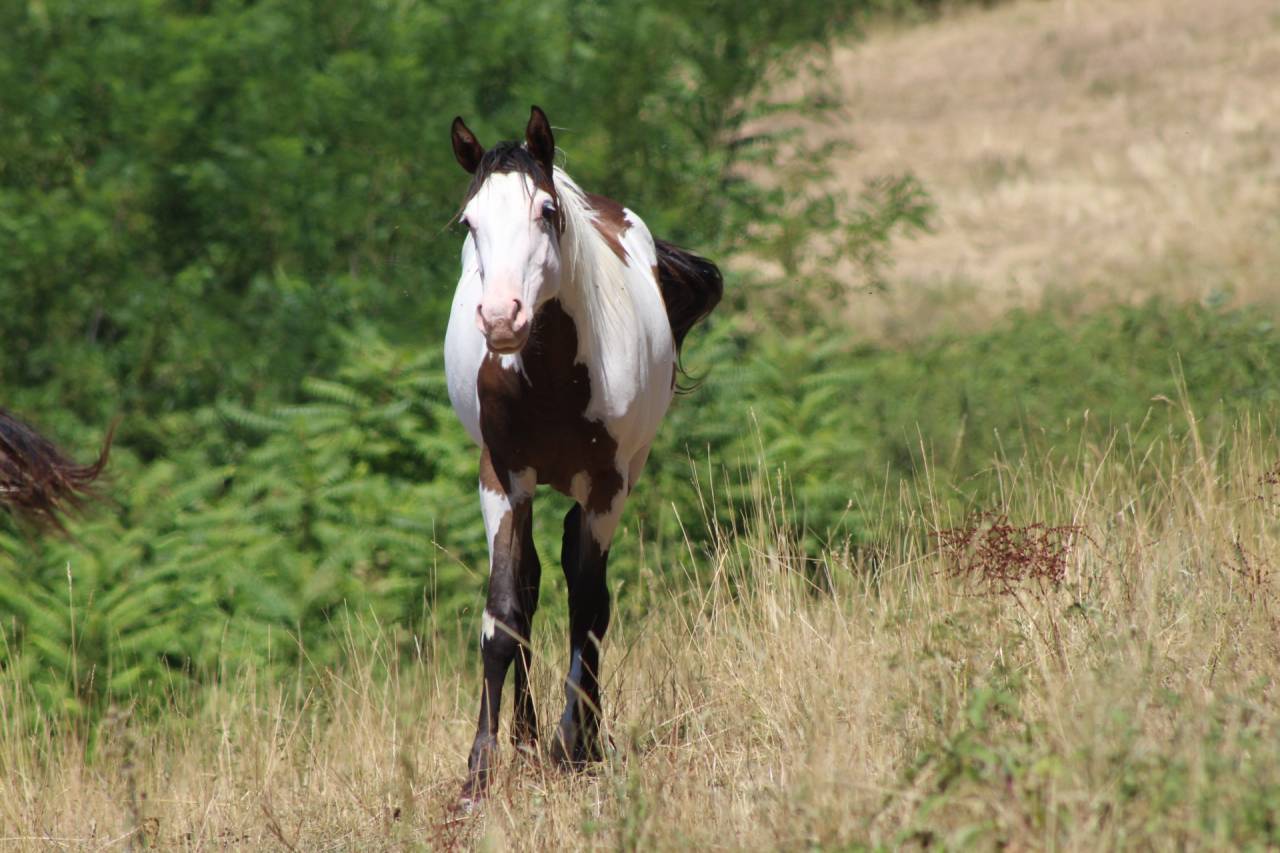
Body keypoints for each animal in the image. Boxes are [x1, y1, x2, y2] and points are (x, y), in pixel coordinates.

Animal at [445, 106, 722, 802]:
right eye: (469, 222)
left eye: (545, 210)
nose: (501, 318)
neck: (550, 382)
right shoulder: (502, 477)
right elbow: (504, 612)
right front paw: (480, 772)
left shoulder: (606, 484)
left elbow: (590, 604)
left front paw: (580, 743)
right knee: (533, 580)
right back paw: (526, 735)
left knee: (578, 578)